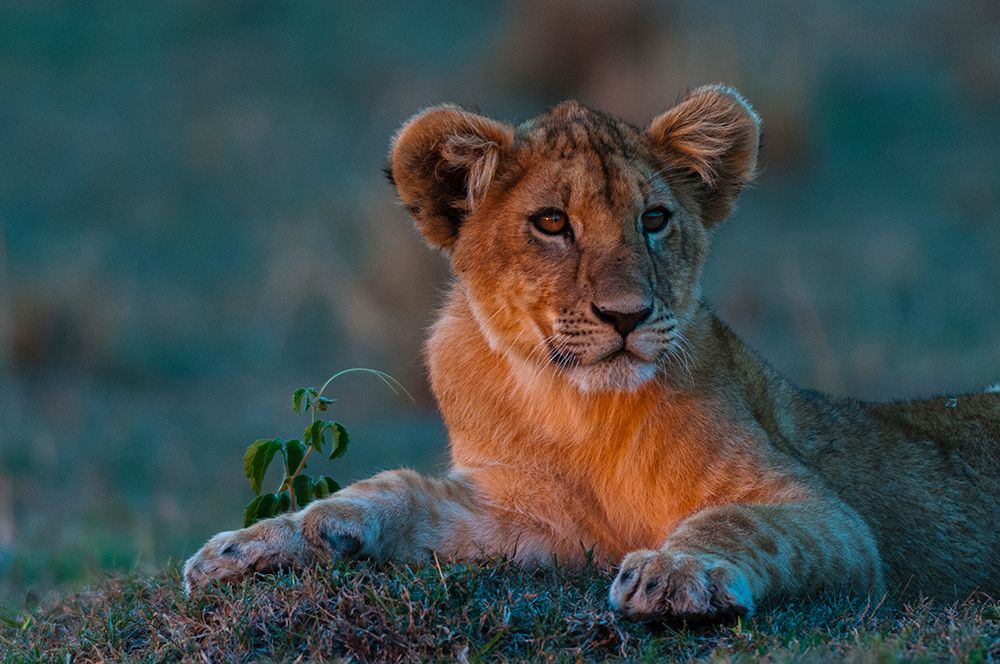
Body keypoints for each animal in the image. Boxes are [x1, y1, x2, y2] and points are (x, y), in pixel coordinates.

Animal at [184, 85, 1000, 620]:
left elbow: (736, 522)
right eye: (552, 223)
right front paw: (252, 544)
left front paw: (672, 570)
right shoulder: (531, 519)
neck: (578, 408)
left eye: (655, 220)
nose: (626, 316)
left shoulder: (830, 519)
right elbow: (390, 491)